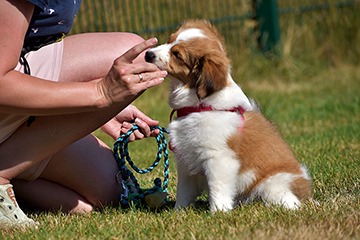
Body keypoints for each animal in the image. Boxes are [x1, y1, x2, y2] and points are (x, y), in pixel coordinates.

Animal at [145, 20, 310, 212]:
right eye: (169, 40)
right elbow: (184, 192)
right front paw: (178, 212)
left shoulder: (218, 159)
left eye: (177, 54)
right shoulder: (186, 160)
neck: (200, 106)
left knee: (291, 203)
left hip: (272, 186)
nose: (148, 54)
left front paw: (218, 212)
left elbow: (217, 188)